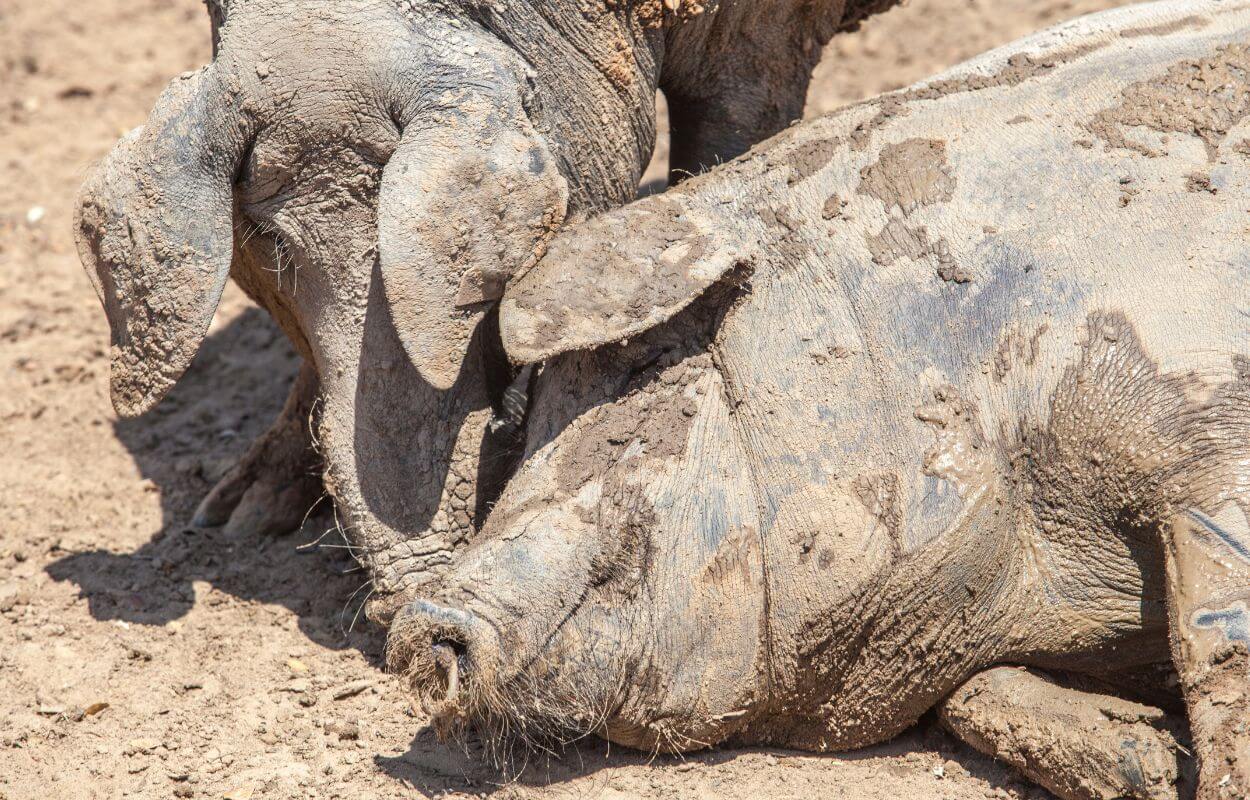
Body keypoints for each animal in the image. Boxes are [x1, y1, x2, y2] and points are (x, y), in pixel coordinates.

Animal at [392, 3, 1250, 795]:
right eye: (540, 412)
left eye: (645, 364)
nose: (426, 621)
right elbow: (973, 696)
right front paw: (1143, 759)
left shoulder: (1192, 406)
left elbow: (1220, 637)